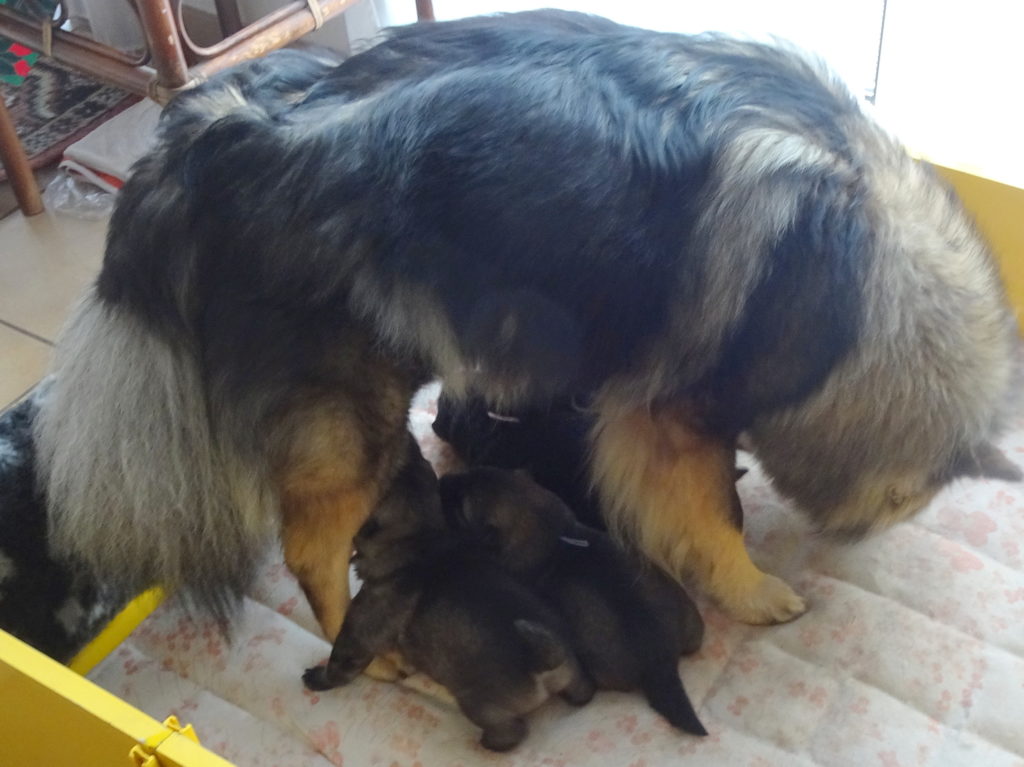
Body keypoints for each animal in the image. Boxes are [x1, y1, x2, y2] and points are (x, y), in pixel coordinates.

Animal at [33, 11, 1021, 639]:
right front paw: (753, 590)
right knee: (311, 550)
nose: (853, 541)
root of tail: (203, 132)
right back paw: (364, 650)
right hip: (349, 422)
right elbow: (713, 518)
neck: (869, 297)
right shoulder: (674, 418)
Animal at [302, 439, 593, 751]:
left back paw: (488, 744)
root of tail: (542, 661)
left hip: (476, 703)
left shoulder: (357, 633)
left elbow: (340, 663)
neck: (420, 543)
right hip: (572, 672)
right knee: (582, 690)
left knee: (512, 731)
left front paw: (319, 678)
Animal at [440, 466, 707, 735]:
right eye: (474, 471)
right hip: (692, 623)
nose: (443, 480)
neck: (547, 527)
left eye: (462, 507)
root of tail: (662, 661)